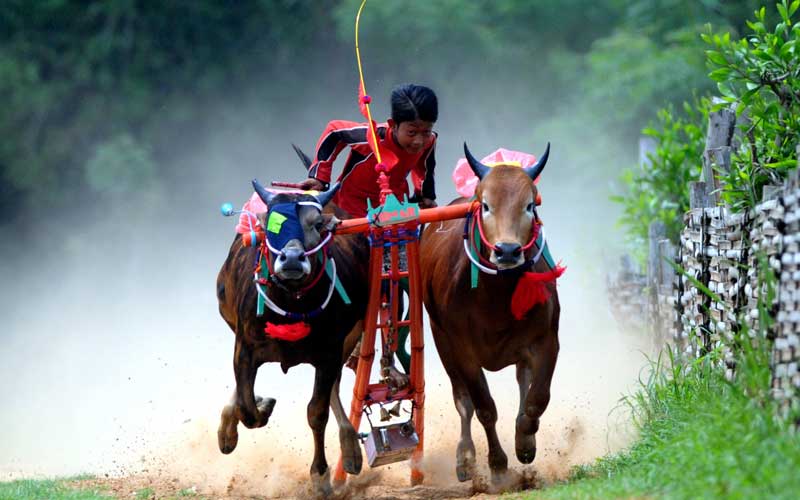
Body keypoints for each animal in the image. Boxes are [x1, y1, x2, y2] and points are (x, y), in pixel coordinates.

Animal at [216, 177, 372, 496]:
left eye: (317, 224)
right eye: (269, 223)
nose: (291, 258)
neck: (290, 302)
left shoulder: (329, 353)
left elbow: (317, 412)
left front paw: (320, 475)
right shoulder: (244, 348)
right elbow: (247, 408)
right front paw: (256, 410)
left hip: (350, 338)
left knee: (335, 390)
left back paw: (350, 449)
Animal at [422, 143, 560, 486]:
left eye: (528, 205)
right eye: (486, 205)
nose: (507, 251)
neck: (496, 295)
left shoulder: (547, 340)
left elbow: (537, 399)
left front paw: (525, 443)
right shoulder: (463, 351)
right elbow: (484, 408)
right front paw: (497, 466)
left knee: (523, 382)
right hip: (441, 342)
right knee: (463, 401)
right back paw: (465, 458)